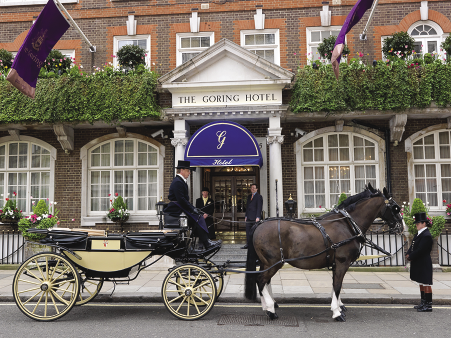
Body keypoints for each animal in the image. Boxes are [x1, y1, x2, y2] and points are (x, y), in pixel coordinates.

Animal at [245, 185, 404, 322]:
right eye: (395, 208)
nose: (401, 226)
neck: (347, 224)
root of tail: (259, 224)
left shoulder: (336, 264)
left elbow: (335, 285)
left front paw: (339, 306)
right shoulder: (342, 262)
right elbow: (338, 285)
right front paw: (337, 312)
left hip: (266, 262)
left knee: (264, 281)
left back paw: (267, 305)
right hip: (273, 262)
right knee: (261, 280)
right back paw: (270, 310)